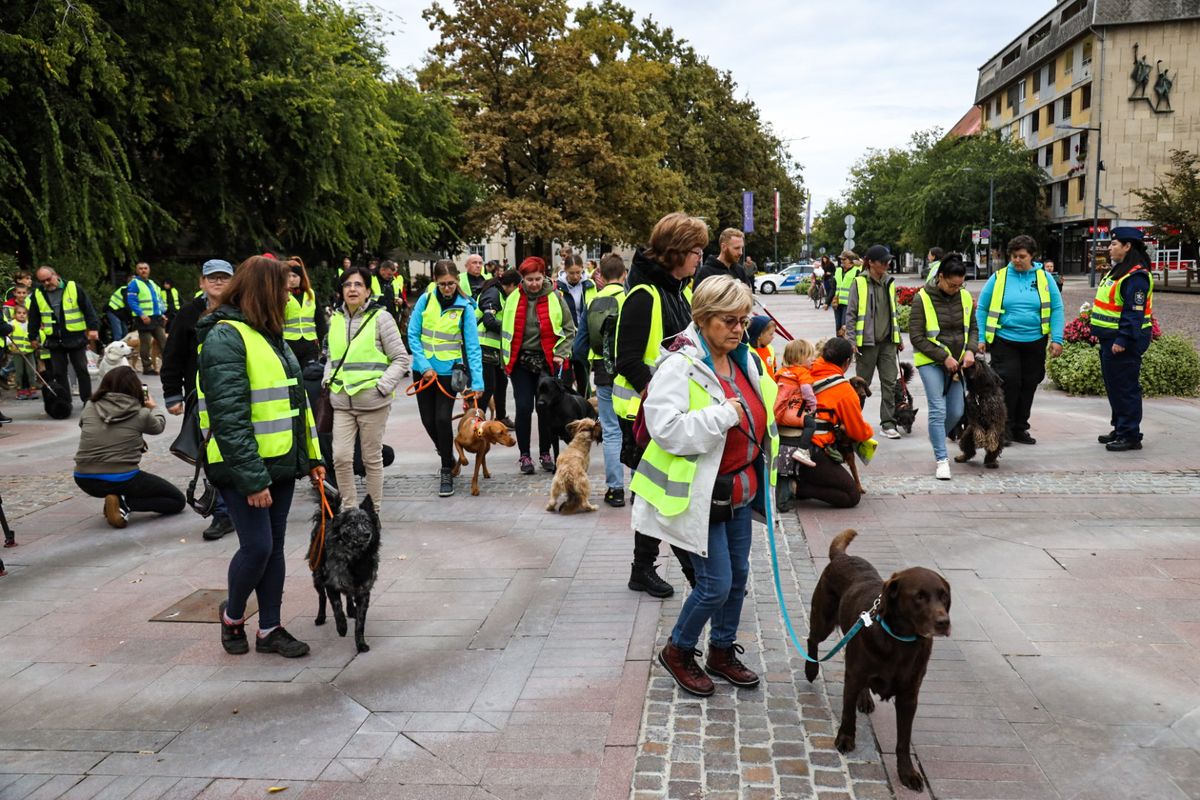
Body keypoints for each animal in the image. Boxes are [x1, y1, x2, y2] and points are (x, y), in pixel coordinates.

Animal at [309, 491, 379, 652]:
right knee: (322, 597)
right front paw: (341, 627)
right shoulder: (331, 584)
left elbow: (360, 623)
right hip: (317, 576)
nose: (367, 534)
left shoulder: (363, 592)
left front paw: (361, 644)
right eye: (352, 524)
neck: (356, 558)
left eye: (367, 522)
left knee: (347, 595)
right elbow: (337, 607)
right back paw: (320, 617)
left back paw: (351, 610)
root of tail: (329, 517)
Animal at [806, 527, 945, 791]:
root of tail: (842, 557)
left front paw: (907, 772)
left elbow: (903, 740)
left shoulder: (909, 696)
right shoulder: (853, 676)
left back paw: (865, 699)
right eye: (919, 596)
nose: (944, 622)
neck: (900, 642)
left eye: (944, 597)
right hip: (823, 621)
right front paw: (845, 739)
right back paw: (810, 670)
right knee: (811, 640)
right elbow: (847, 713)